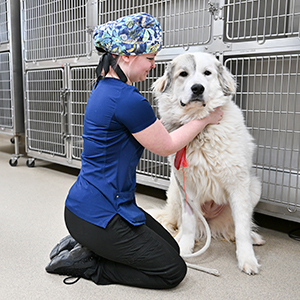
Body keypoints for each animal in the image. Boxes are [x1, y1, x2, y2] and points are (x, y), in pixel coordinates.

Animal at [152, 51, 264, 274]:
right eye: (183, 74)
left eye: (207, 73)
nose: (198, 88)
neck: (200, 129)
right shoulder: (187, 187)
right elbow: (188, 223)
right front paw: (185, 249)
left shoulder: (238, 185)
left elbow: (242, 226)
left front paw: (247, 259)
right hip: (176, 191)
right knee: (185, 224)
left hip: (254, 187)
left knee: (235, 227)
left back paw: (252, 237)